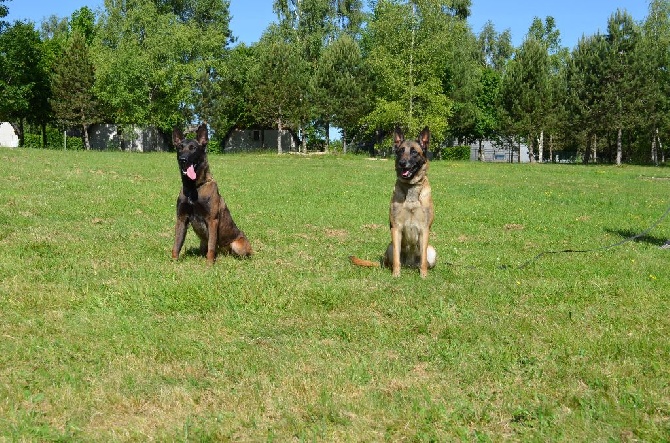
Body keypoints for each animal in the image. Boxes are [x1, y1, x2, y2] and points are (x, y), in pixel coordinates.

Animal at [172, 123, 253, 266]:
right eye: (180, 148)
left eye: (193, 148)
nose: (183, 159)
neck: (194, 187)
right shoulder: (181, 219)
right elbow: (177, 244)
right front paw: (173, 261)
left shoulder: (212, 220)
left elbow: (211, 246)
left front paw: (209, 265)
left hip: (237, 244)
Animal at [352, 125, 440, 278]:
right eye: (400, 151)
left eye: (414, 152)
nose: (402, 163)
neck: (410, 190)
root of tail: (409, 265)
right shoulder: (396, 228)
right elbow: (397, 258)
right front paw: (396, 275)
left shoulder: (424, 229)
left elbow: (423, 259)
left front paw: (423, 276)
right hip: (390, 246)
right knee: (393, 259)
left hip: (432, 251)